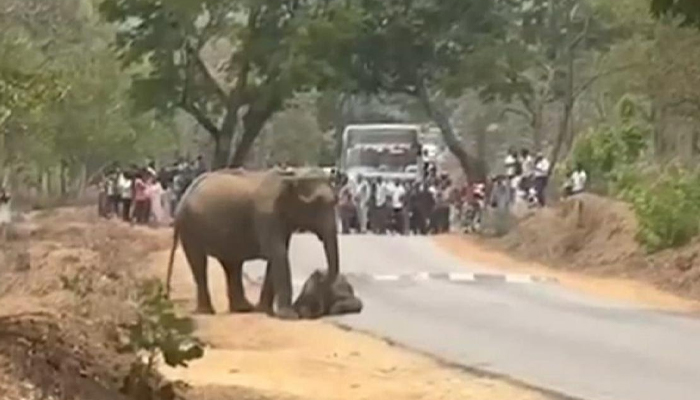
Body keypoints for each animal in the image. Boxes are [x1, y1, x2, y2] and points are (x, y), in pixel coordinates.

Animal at [165, 168, 339, 320]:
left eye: (335, 202)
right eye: (317, 204)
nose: (319, 275)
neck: (293, 174)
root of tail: (184, 196)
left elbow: (277, 256)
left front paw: (264, 311)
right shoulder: (266, 215)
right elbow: (278, 254)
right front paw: (289, 316)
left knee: (232, 264)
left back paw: (243, 308)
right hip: (190, 227)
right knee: (199, 263)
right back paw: (207, 312)